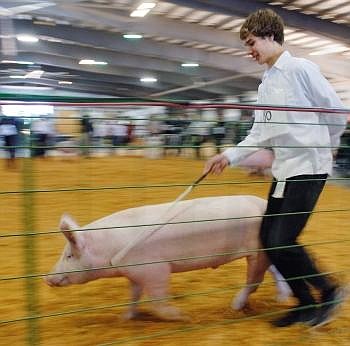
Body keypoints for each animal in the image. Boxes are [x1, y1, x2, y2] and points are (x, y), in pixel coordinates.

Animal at [47, 195, 292, 322]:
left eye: (69, 255)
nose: (47, 278)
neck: (111, 249)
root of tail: (264, 204)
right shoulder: (134, 272)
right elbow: (134, 295)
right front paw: (126, 317)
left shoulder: (155, 269)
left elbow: (157, 299)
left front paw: (182, 317)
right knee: (274, 270)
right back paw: (282, 298)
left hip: (258, 251)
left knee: (255, 280)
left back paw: (235, 306)